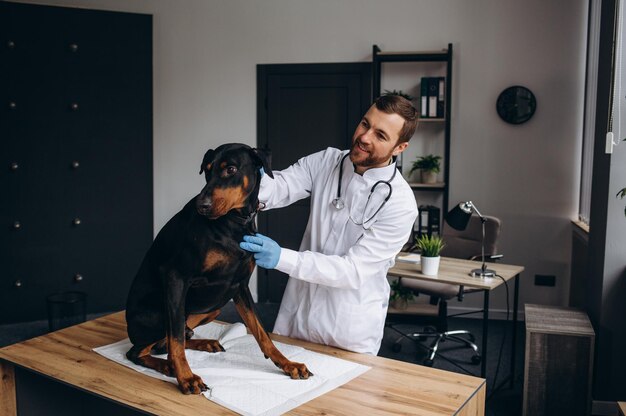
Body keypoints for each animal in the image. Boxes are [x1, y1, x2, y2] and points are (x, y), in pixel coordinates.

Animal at [126, 145, 310, 394]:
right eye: (207, 170)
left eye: (230, 169)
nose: (201, 206)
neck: (234, 224)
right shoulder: (176, 277)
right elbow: (176, 340)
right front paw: (186, 377)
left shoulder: (239, 286)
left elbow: (262, 332)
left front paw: (288, 364)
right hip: (161, 313)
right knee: (142, 349)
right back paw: (168, 366)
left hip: (213, 307)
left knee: (169, 340)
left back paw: (203, 343)